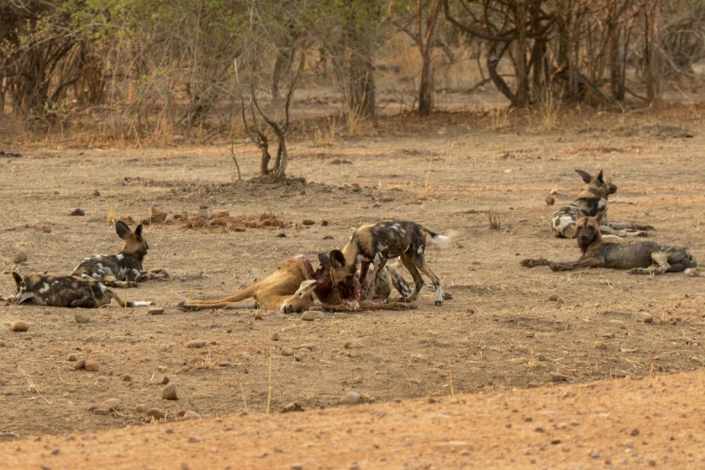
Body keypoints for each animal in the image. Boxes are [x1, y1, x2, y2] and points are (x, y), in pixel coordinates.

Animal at [11, 272, 152, 308]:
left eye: (16, 289)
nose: (16, 293)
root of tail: (105, 289)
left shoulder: (21, 296)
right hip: (84, 276)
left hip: (76, 302)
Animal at [179, 252, 416, 314]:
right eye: (301, 294)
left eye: (308, 306)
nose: (290, 308)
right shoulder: (258, 292)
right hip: (254, 289)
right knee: (225, 299)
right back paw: (186, 303)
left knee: (227, 303)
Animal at [524, 211, 692, 274]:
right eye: (579, 227)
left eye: (591, 227)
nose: (583, 237)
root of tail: (688, 252)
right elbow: (550, 259)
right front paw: (531, 261)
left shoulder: (596, 260)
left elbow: (573, 264)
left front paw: (558, 266)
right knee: (659, 267)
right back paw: (641, 270)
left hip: (656, 252)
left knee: (664, 267)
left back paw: (641, 271)